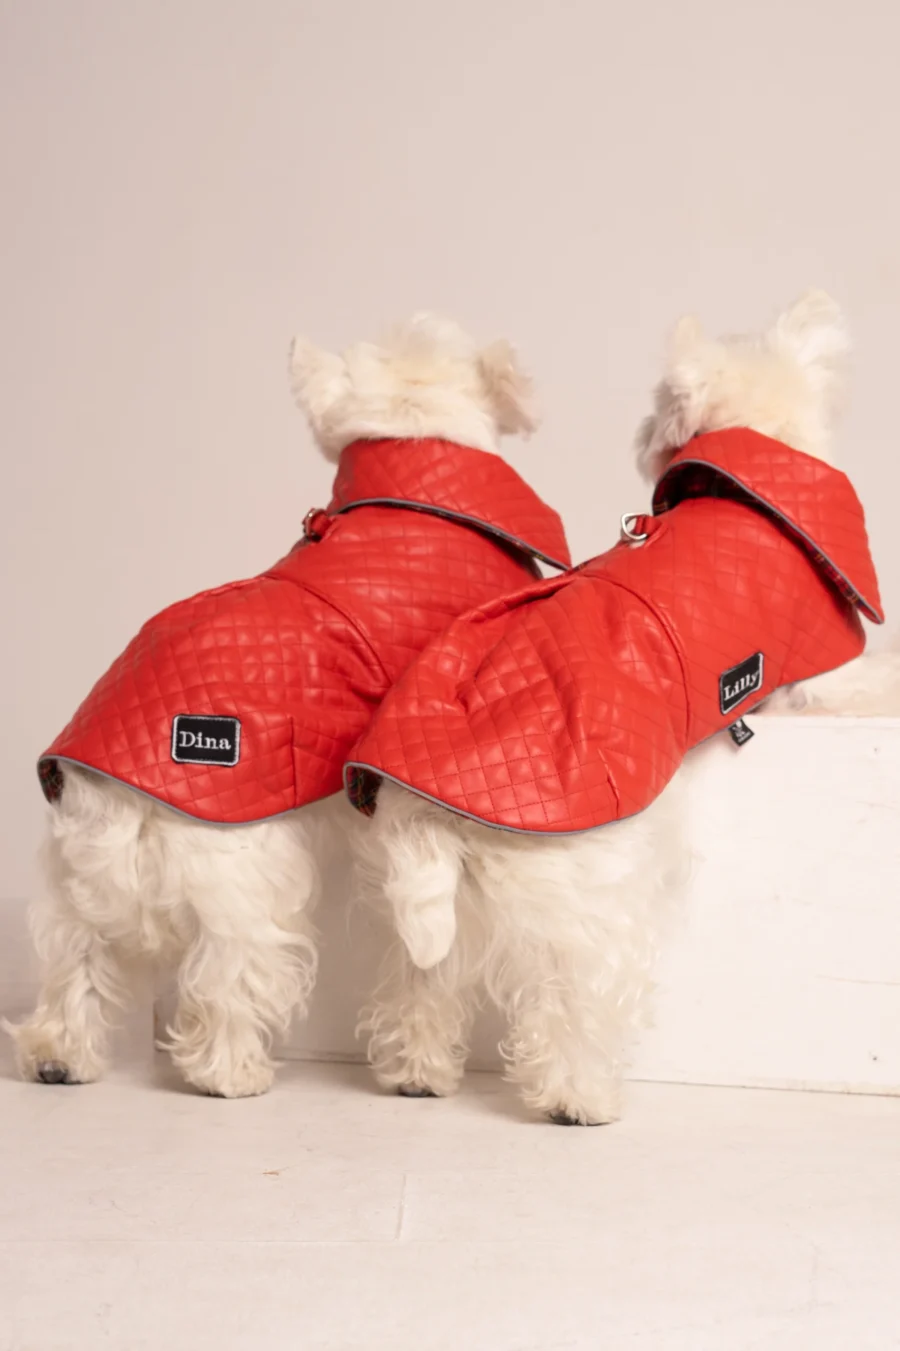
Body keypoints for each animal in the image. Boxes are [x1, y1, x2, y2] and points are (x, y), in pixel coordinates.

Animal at [7, 313, 564, 1097]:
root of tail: (120, 790)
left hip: (78, 880)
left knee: (75, 963)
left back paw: (58, 1056)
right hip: (243, 877)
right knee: (228, 977)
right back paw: (230, 1071)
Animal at [351, 295, 897, 1129]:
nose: (642, 433)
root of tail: (430, 802)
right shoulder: (825, 674)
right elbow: (877, 674)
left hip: (437, 908)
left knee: (420, 988)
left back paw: (418, 1074)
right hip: (586, 904)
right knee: (570, 1005)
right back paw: (581, 1098)